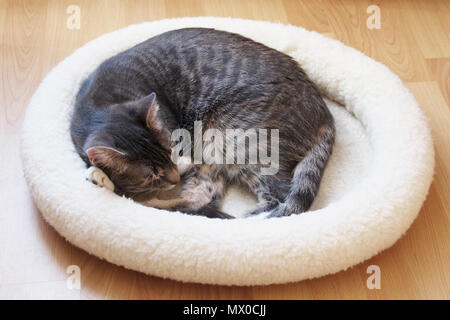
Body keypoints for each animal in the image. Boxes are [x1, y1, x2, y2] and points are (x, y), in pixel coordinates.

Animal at [70, 27, 334, 219]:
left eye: (172, 148)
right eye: (151, 175)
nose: (175, 179)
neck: (100, 106)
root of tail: (323, 112)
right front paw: (103, 176)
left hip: (237, 142)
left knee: (278, 199)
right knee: (202, 199)